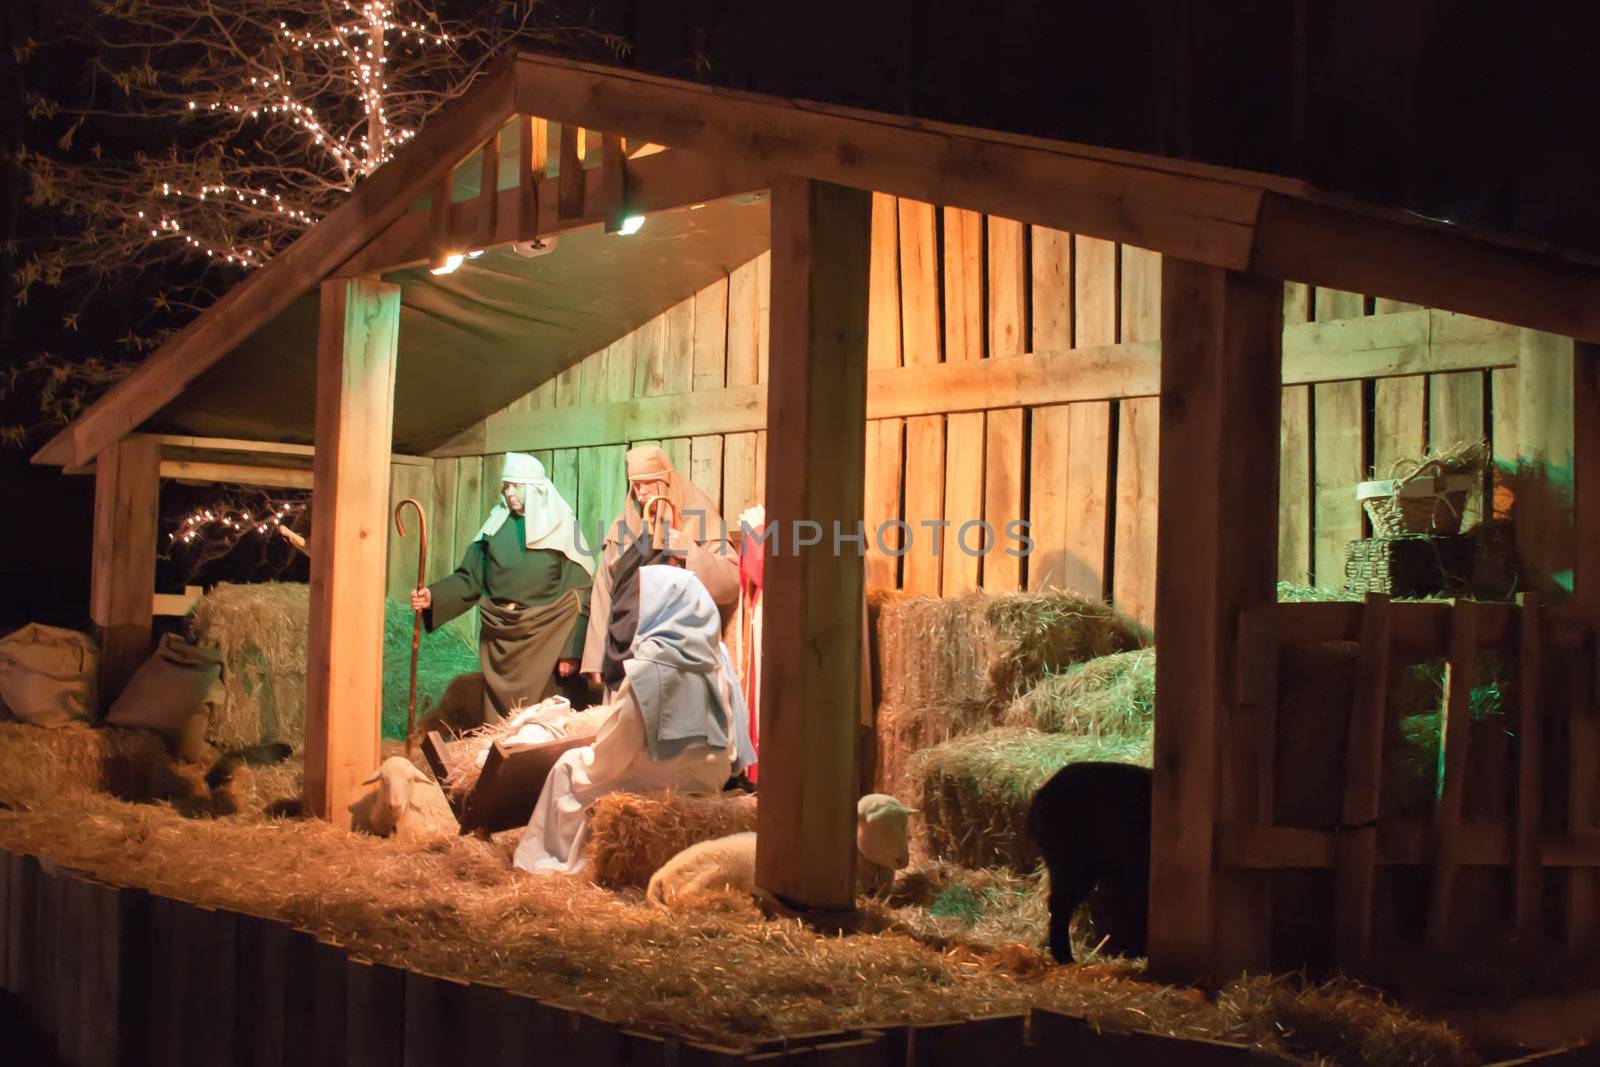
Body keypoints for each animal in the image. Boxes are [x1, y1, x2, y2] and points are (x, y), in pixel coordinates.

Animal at [636, 793, 915, 908]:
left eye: (904, 824)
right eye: (874, 827)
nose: (903, 860)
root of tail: (659, 875)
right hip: (710, 873)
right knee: (684, 897)